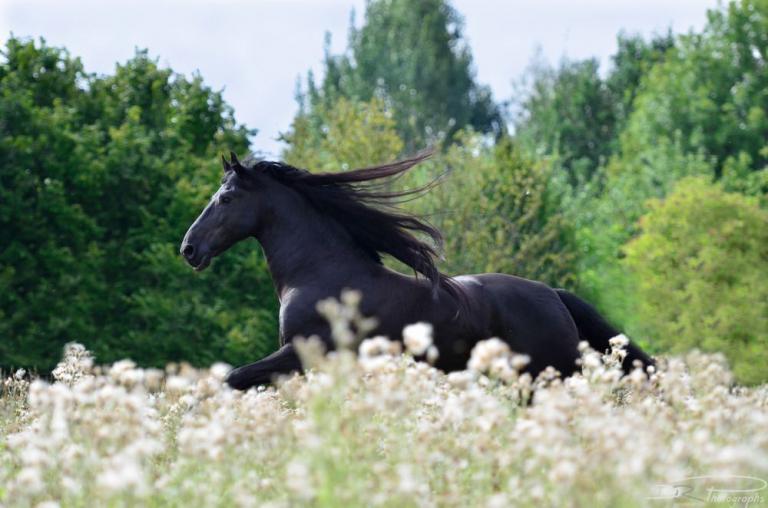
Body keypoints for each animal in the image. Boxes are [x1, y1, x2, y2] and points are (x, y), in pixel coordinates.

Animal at [180, 151, 653, 390]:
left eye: (225, 199)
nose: (189, 249)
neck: (318, 272)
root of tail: (553, 294)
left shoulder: (300, 353)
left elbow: (232, 378)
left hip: (548, 373)